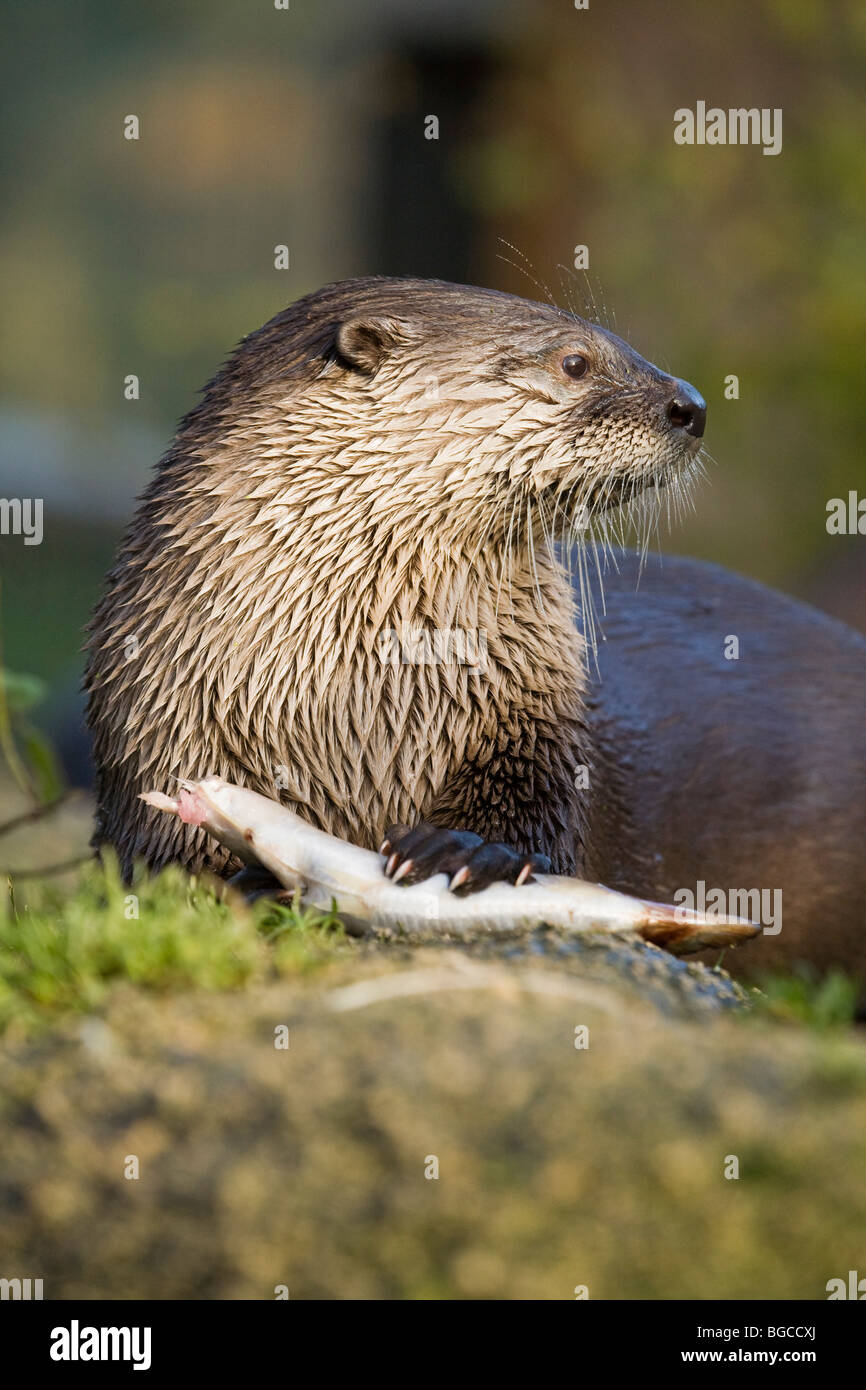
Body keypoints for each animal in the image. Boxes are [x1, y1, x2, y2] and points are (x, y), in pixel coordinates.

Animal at [86, 277, 866, 978]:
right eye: (575, 361)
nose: (693, 406)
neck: (355, 703)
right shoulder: (154, 732)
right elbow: (157, 855)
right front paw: (236, 882)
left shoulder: (536, 716)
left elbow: (537, 807)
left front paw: (464, 851)